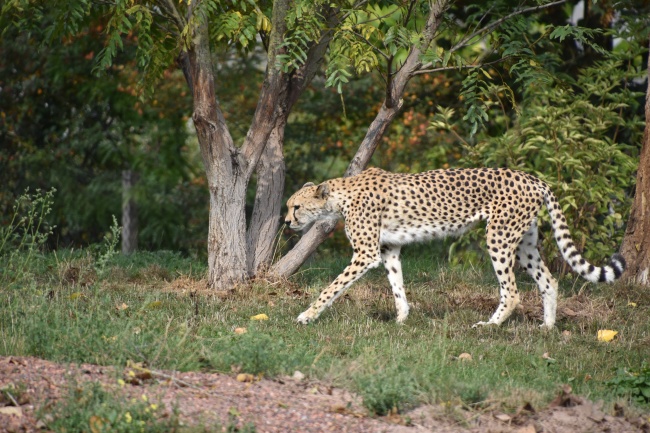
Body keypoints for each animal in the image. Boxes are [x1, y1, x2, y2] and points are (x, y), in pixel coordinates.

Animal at [284, 166, 624, 328]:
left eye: (296, 207)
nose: (286, 222)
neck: (341, 195)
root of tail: (533, 178)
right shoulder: (389, 249)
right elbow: (397, 286)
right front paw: (402, 319)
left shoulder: (366, 254)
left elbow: (332, 288)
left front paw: (307, 316)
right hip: (524, 242)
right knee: (549, 281)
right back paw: (547, 327)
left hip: (498, 237)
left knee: (512, 291)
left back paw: (489, 326)